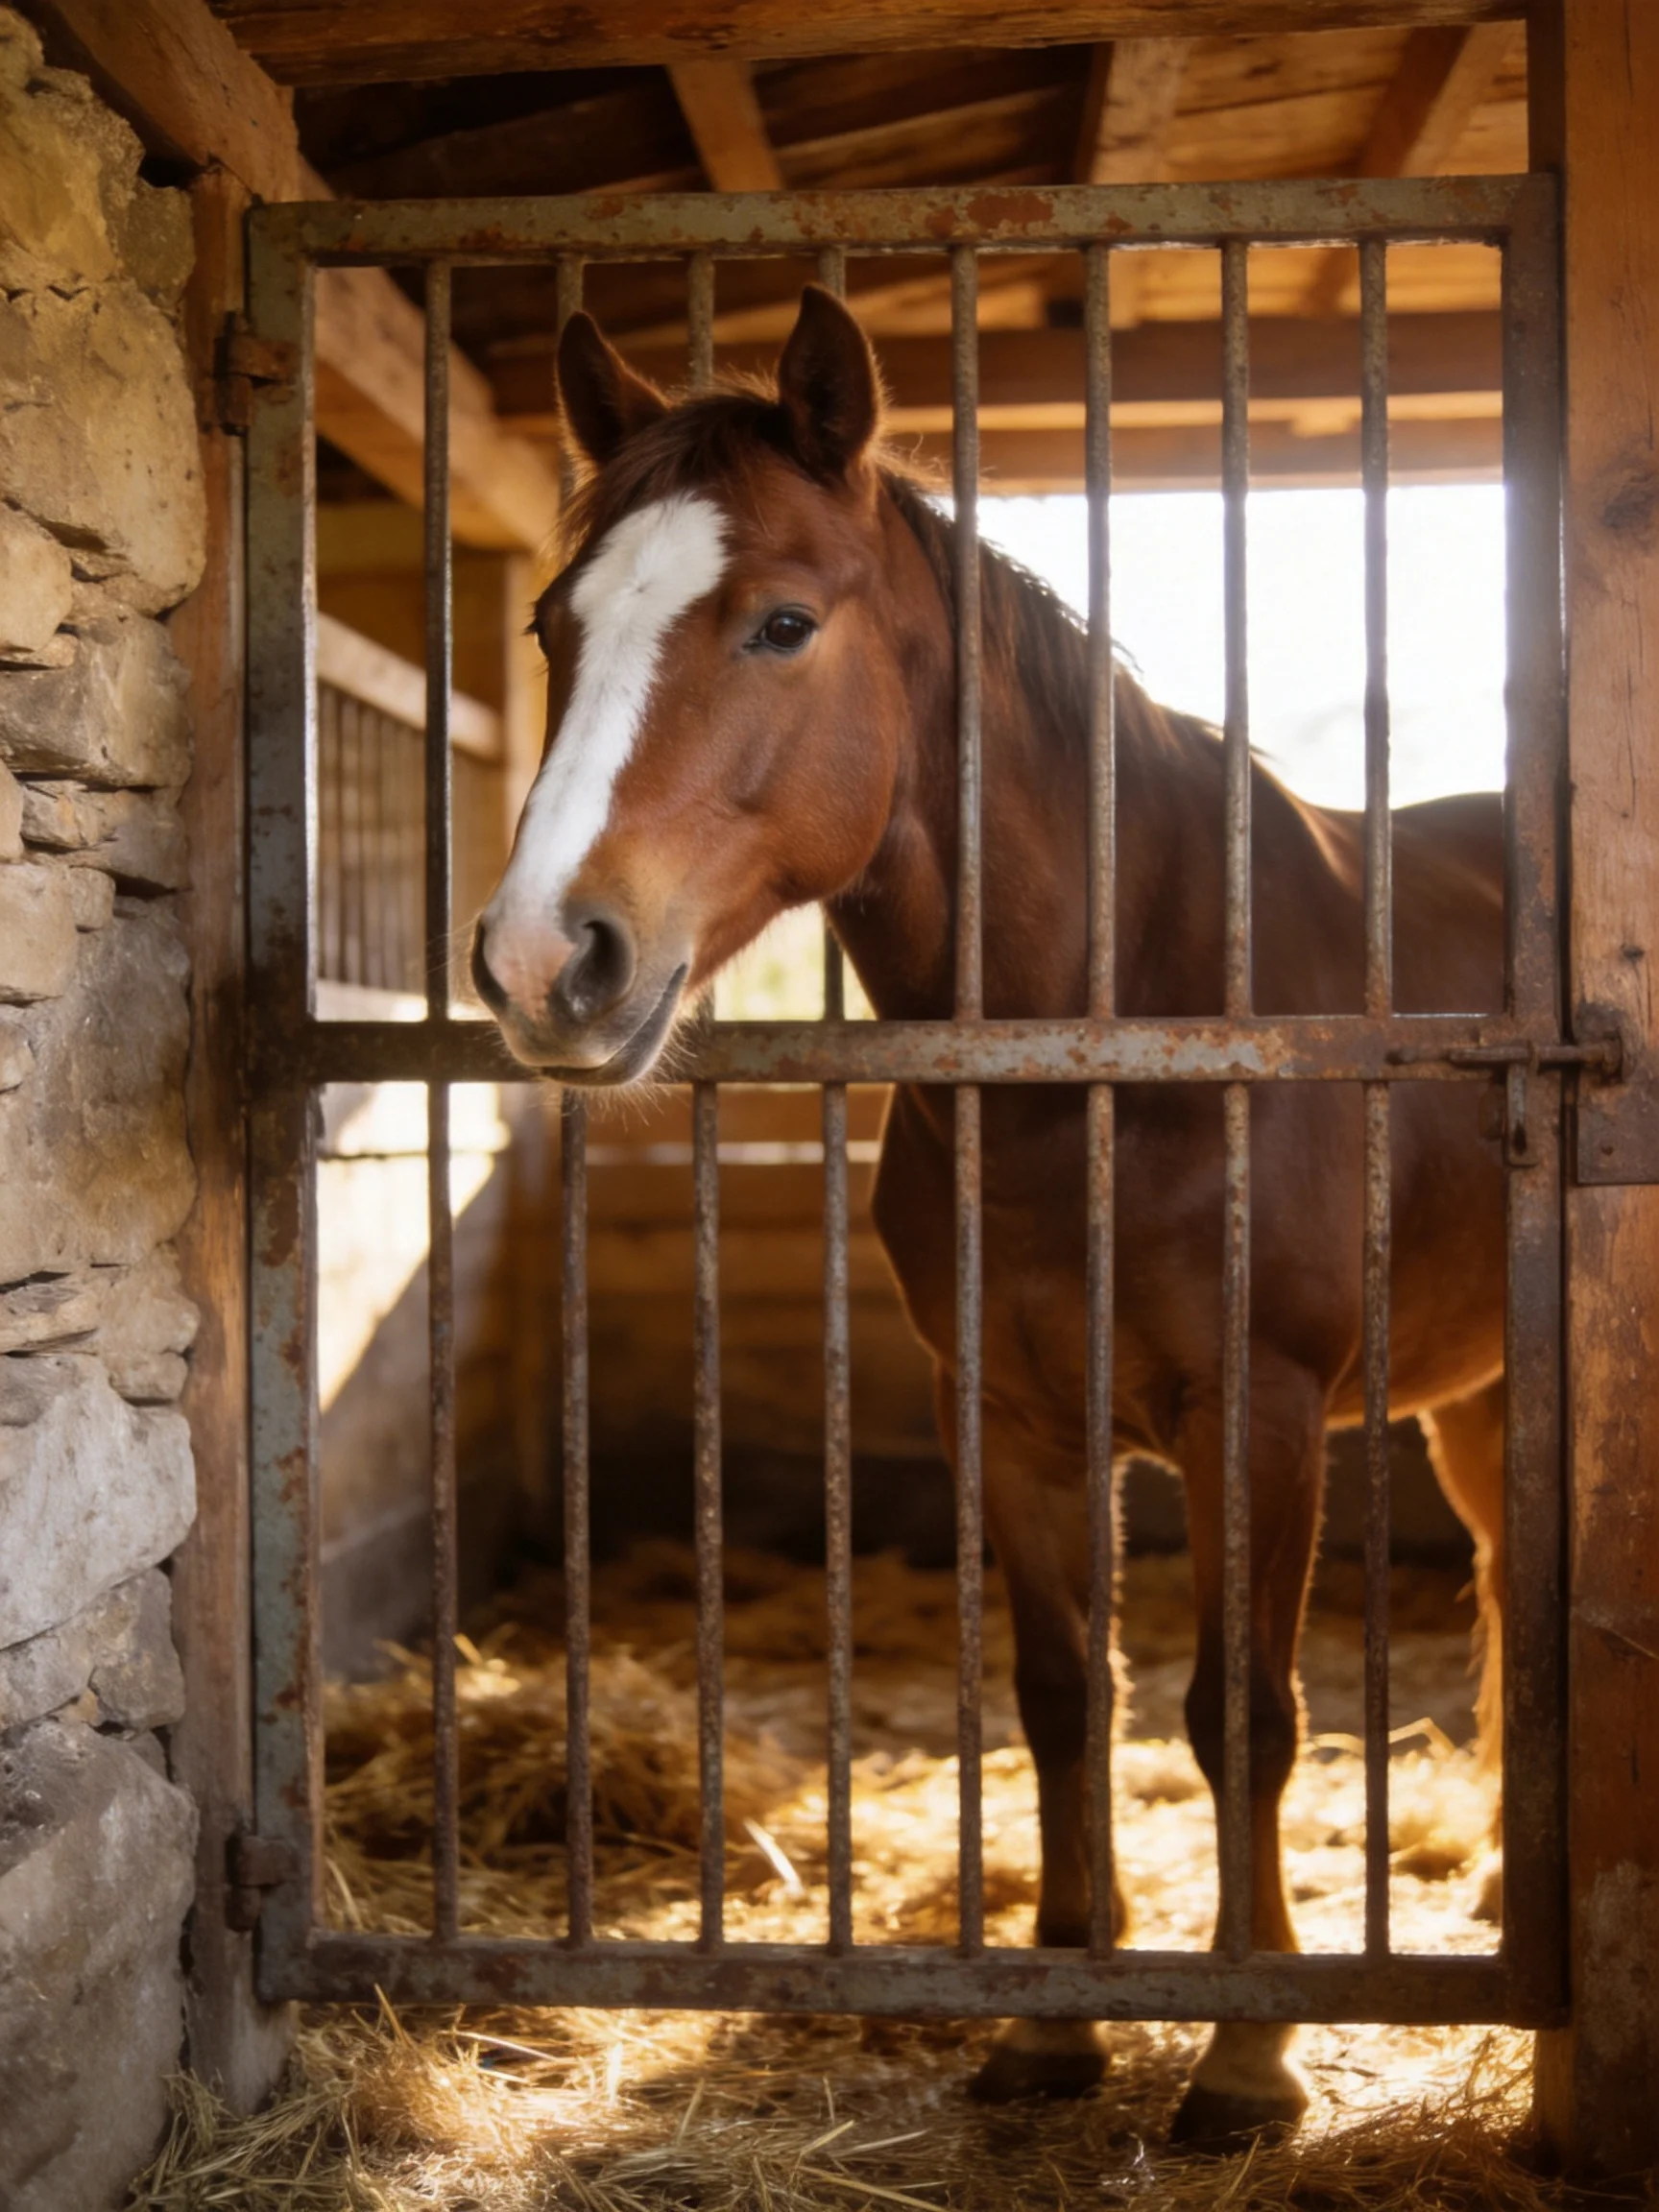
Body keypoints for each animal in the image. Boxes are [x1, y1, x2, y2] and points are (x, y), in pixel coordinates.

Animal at [471, 285, 1508, 2152]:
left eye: (784, 622)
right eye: (547, 621)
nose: (539, 960)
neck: (1115, 1037)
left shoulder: (1257, 1415)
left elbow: (1244, 1710)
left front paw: (1247, 2055)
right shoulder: (1014, 1419)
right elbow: (1062, 1698)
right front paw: (1052, 2025)